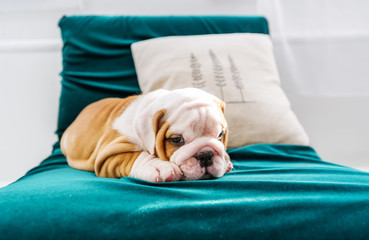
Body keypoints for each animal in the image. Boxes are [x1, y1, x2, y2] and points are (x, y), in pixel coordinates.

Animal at [61, 88, 231, 182]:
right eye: (176, 139)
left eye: (220, 134)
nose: (206, 155)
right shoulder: (108, 155)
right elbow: (134, 156)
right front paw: (158, 166)